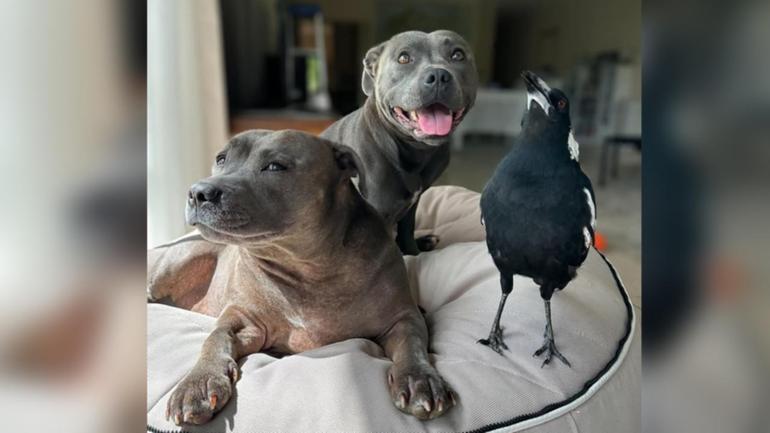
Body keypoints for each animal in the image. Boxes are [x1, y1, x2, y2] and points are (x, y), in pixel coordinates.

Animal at [147, 129, 452, 426]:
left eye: (275, 166)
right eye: (221, 159)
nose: (199, 192)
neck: (307, 267)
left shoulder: (402, 316)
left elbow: (412, 342)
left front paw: (419, 379)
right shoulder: (242, 319)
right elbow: (214, 338)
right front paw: (197, 383)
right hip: (180, 261)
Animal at [318, 30, 474, 255]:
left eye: (457, 55)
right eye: (403, 58)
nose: (438, 75)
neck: (414, 150)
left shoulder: (412, 206)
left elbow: (406, 234)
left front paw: (414, 252)